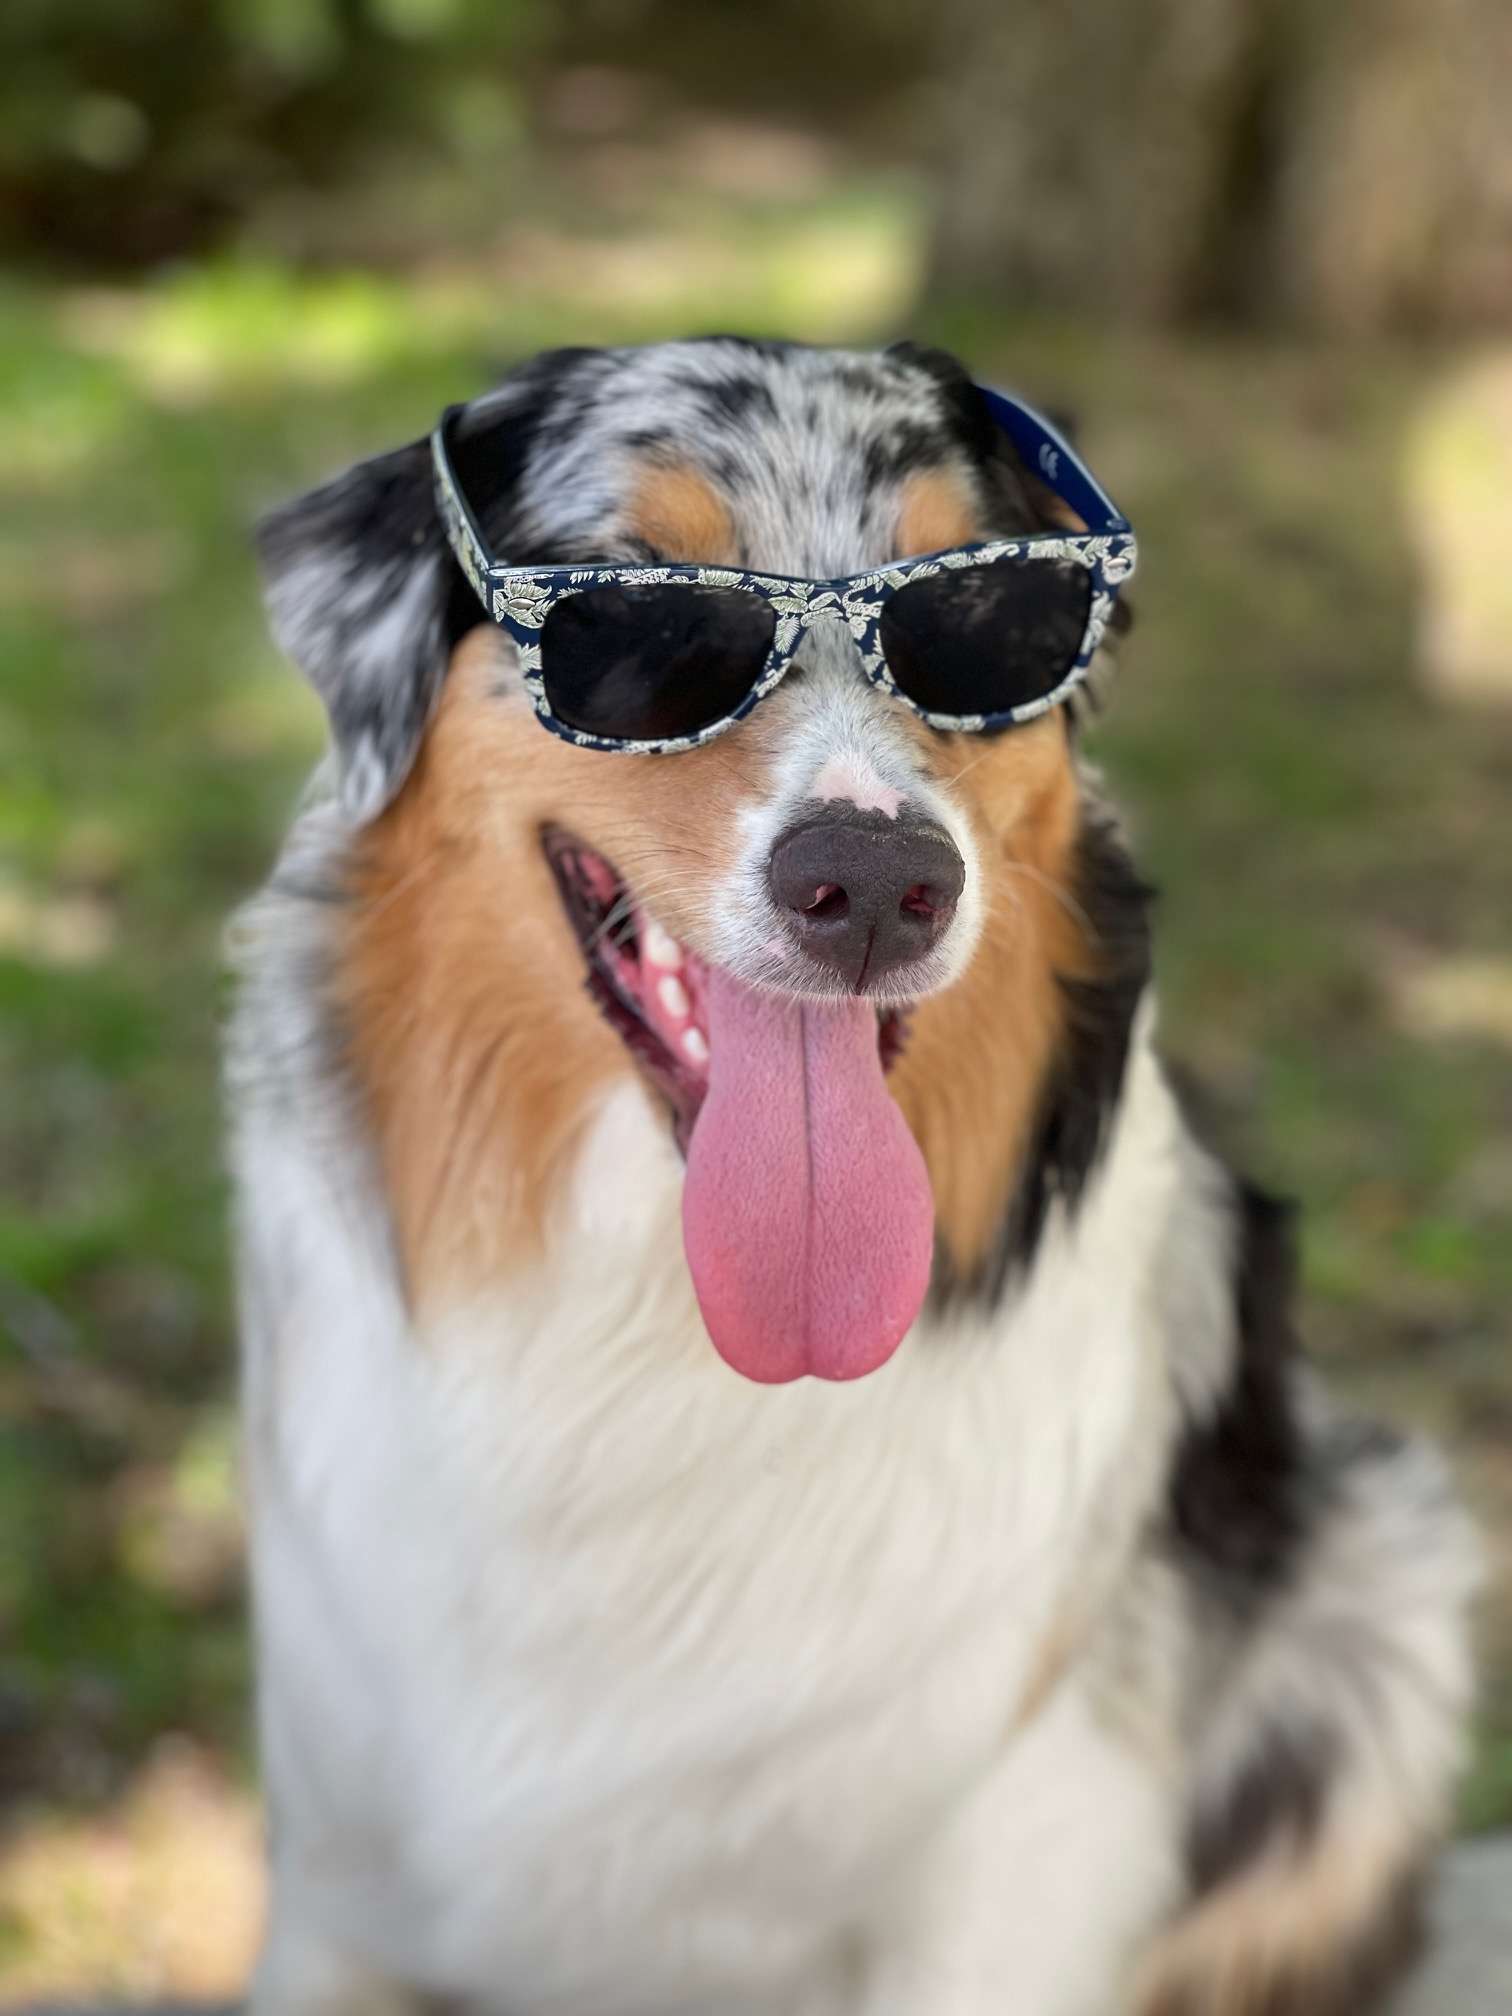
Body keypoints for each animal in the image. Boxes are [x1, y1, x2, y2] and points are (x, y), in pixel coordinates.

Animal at [230, 337, 1477, 2015]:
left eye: (993, 620)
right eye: (642, 617)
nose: (878, 882)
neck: (662, 1340)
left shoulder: (1020, 1859)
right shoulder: (341, 1872)